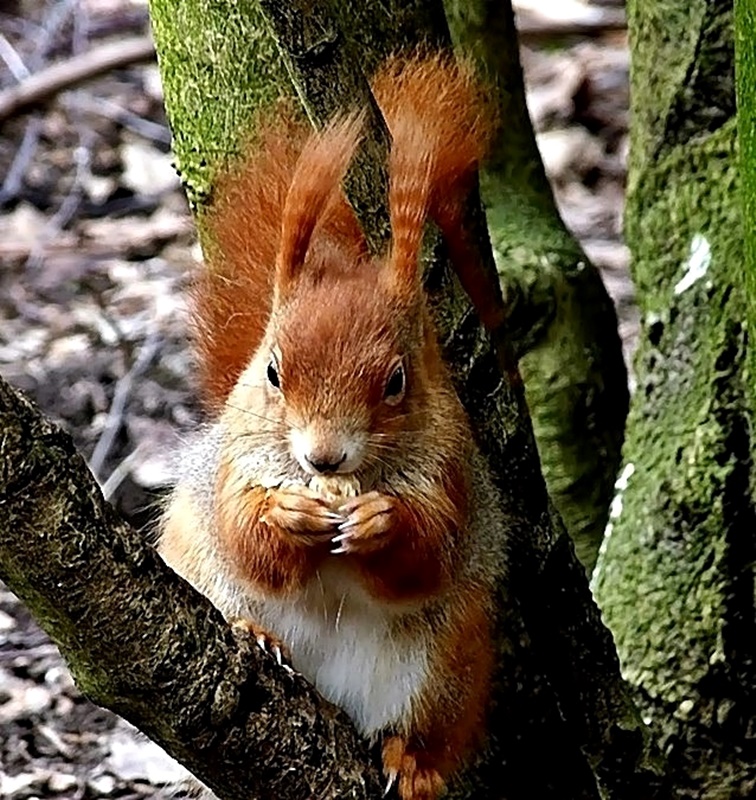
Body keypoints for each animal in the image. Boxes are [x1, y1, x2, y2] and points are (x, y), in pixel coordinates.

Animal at [161, 56, 508, 800]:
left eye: (397, 381)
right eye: (272, 371)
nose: (323, 459)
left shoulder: (451, 473)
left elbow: (428, 551)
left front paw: (381, 523)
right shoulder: (234, 464)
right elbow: (244, 534)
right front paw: (287, 516)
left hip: (448, 664)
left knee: (429, 725)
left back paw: (415, 763)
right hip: (199, 569)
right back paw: (257, 632)